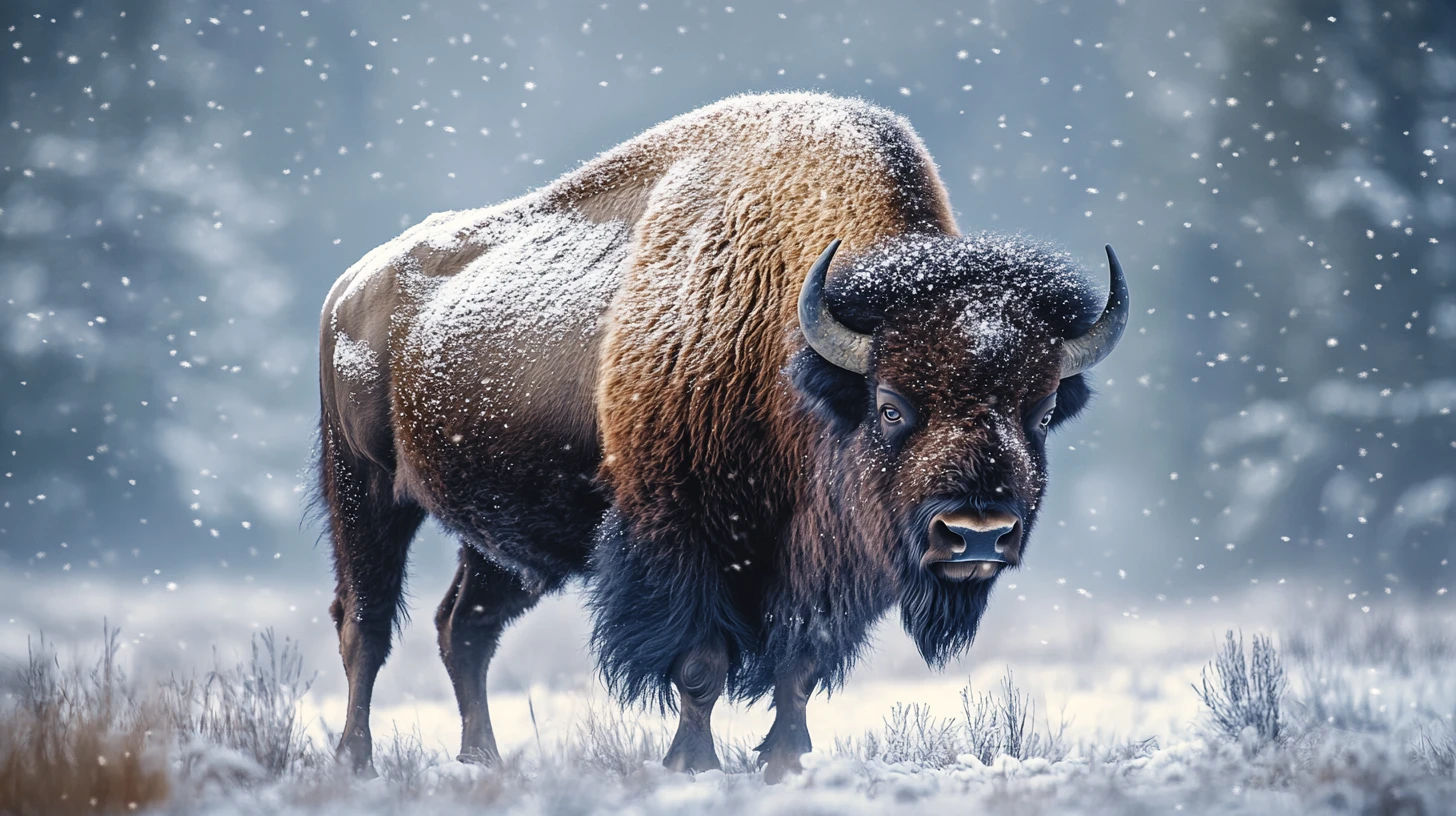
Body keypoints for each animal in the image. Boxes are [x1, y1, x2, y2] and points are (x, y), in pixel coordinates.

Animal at [316, 92, 1128, 781]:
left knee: (466, 628)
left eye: (1041, 410)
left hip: (506, 543)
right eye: (892, 406)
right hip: (363, 489)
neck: (801, 350)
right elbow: (700, 664)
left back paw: (482, 760)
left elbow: (800, 665)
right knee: (366, 625)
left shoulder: (821, 564)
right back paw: (357, 761)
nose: (977, 534)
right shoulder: (683, 536)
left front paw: (786, 760)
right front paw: (693, 763)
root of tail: (352, 284)